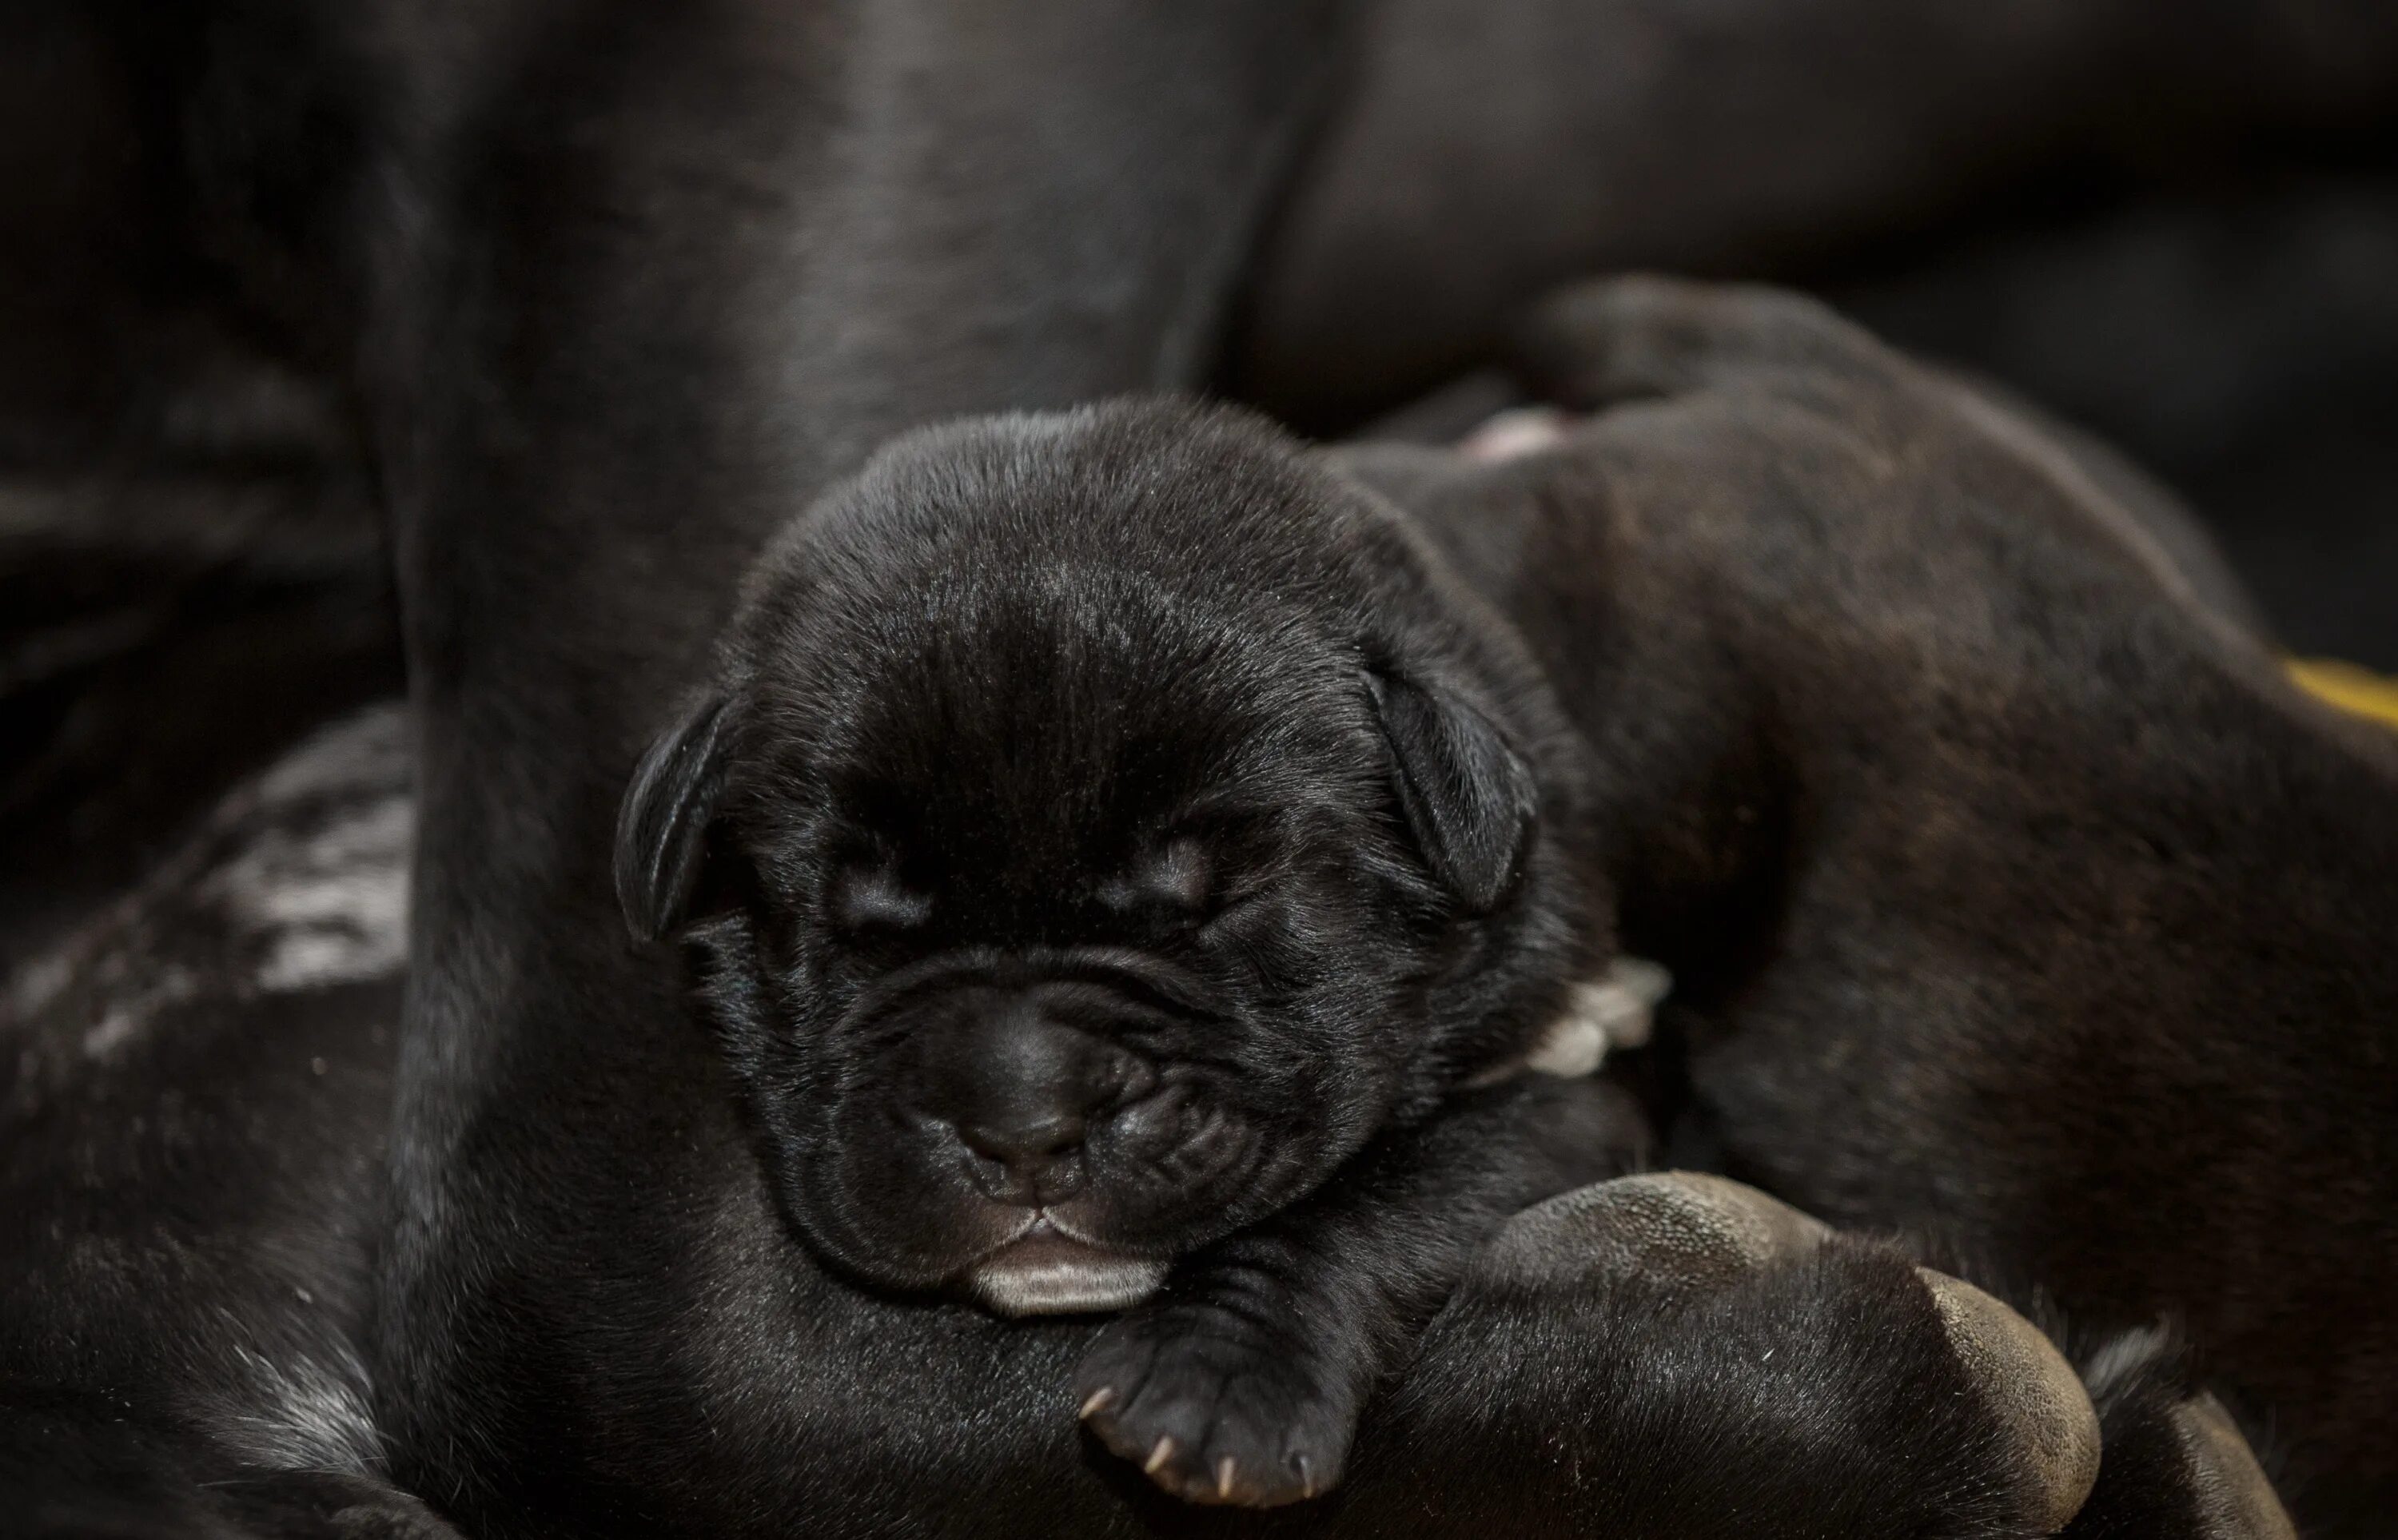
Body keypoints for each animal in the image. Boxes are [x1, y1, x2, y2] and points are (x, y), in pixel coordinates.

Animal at [609, 403, 1640, 1506]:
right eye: (845, 925)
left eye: (1225, 900)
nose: (1024, 1131)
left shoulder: (1562, 1085)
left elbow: (1390, 1190)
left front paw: (1218, 1380)